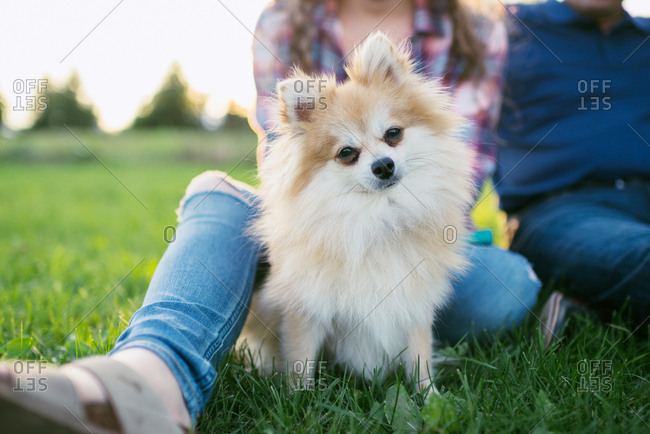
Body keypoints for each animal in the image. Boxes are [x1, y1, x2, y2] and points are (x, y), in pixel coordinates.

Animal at [237, 32, 470, 396]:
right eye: (347, 153)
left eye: (393, 134)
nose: (383, 165)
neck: (377, 217)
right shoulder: (306, 307)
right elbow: (301, 359)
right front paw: (299, 400)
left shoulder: (414, 302)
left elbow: (420, 357)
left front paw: (430, 396)